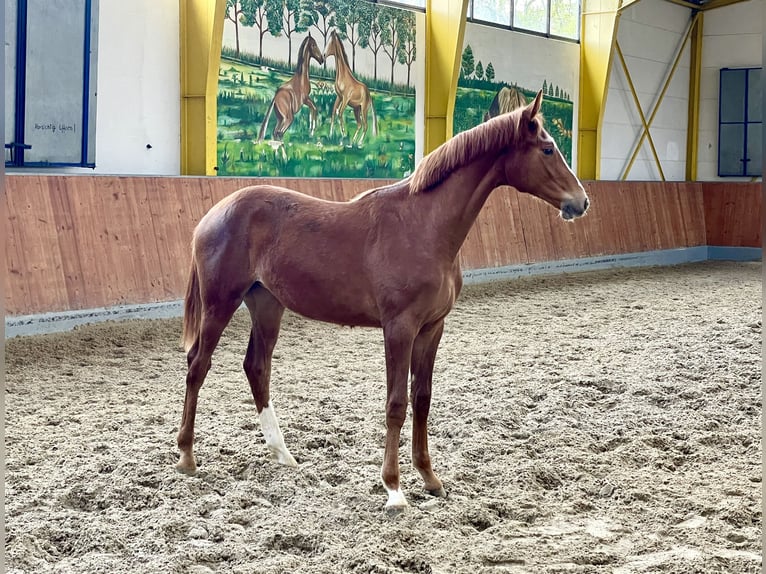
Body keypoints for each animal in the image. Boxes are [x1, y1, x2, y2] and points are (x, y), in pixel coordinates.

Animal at [177, 92, 592, 510]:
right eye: (547, 148)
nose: (582, 202)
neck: (423, 226)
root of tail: (213, 214)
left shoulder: (432, 328)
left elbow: (422, 399)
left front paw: (430, 479)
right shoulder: (399, 329)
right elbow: (396, 404)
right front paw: (394, 489)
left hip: (266, 305)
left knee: (256, 368)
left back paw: (283, 454)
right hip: (220, 303)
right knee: (198, 366)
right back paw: (187, 456)